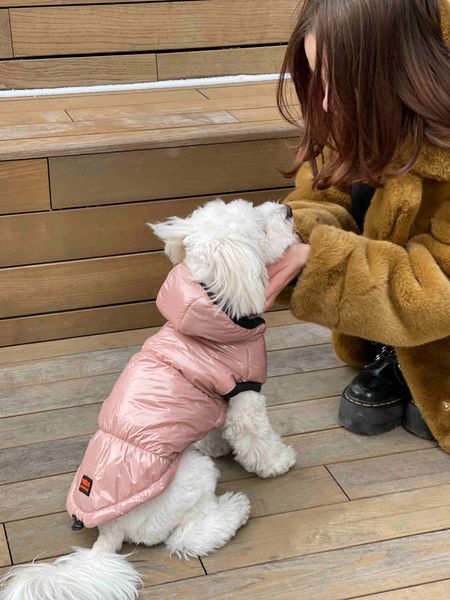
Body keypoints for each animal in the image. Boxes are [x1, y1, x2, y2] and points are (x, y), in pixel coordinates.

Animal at [0, 198, 298, 600]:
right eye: (261, 228)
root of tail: (110, 530)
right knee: (187, 538)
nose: (288, 210)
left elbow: (213, 428)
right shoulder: (244, 395)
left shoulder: (214, 395)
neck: (212, 311)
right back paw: (234, 510)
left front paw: (217, 444)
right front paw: (279, 462)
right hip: (193, 478)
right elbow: (257, 440)